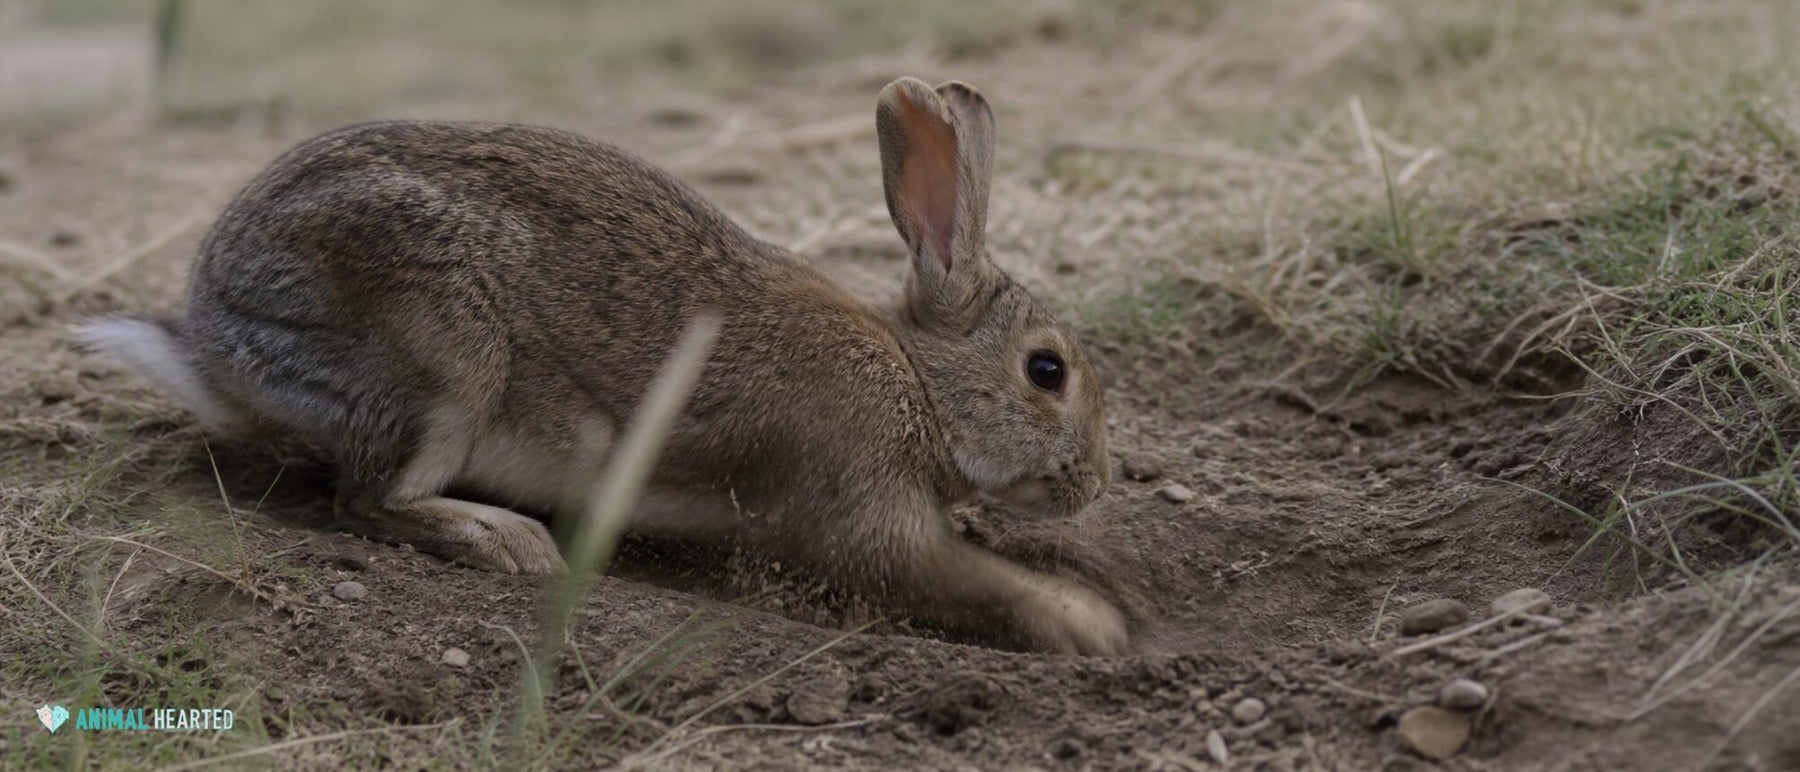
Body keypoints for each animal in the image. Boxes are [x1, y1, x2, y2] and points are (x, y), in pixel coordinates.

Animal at [75, 77, 1127, 655]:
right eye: (1047, 372)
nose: (1093, 484)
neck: (918, 381)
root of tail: (214, 339)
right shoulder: (853, 492)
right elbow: (946, 575)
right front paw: (1089, 626)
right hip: (443, 353)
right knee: (369, 499)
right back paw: (505, 540)